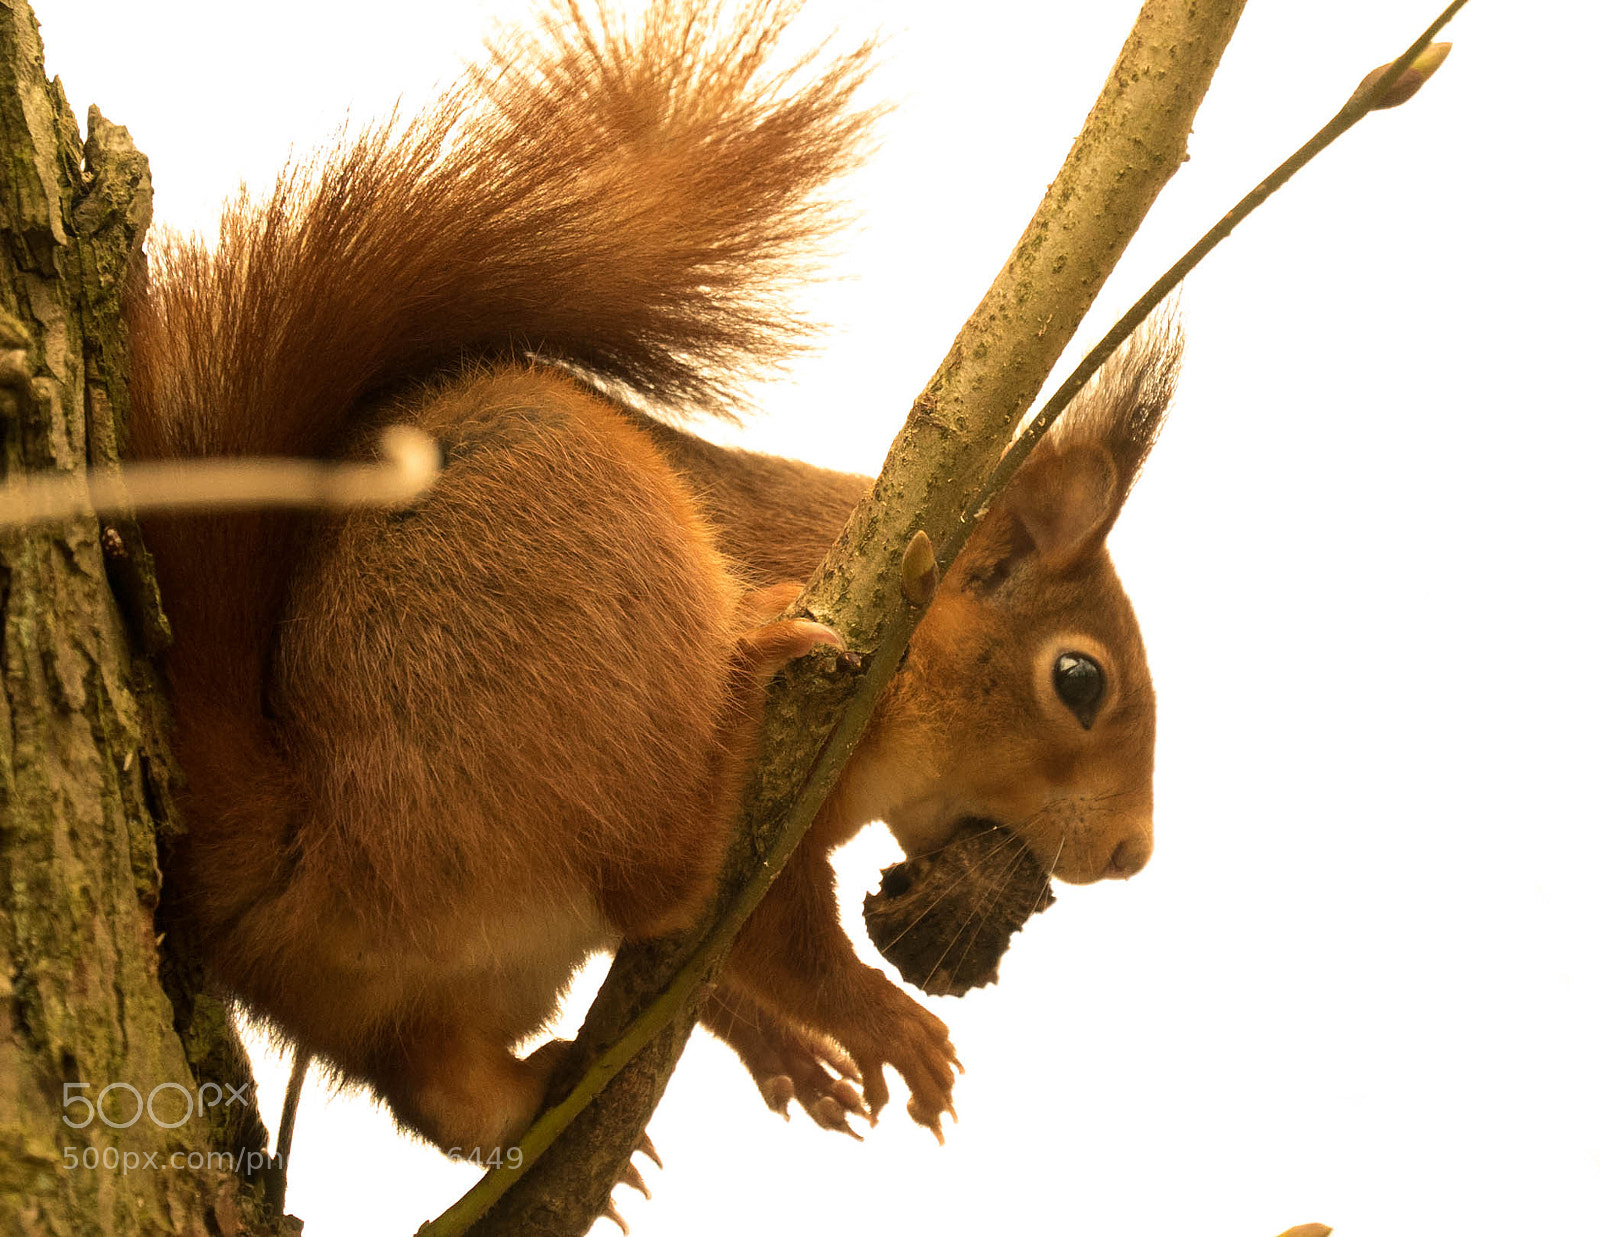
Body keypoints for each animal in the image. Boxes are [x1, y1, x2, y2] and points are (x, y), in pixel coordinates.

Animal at [126, 0, 1178, 1156]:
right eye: (1078, 680)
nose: (1131, 851)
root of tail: (296, 858)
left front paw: (787, 1051)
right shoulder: (813, 769)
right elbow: (771, 939)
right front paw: (880, 1021)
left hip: (429, 992)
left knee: (455, 1098)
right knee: (660, 882)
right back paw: (741, 692)